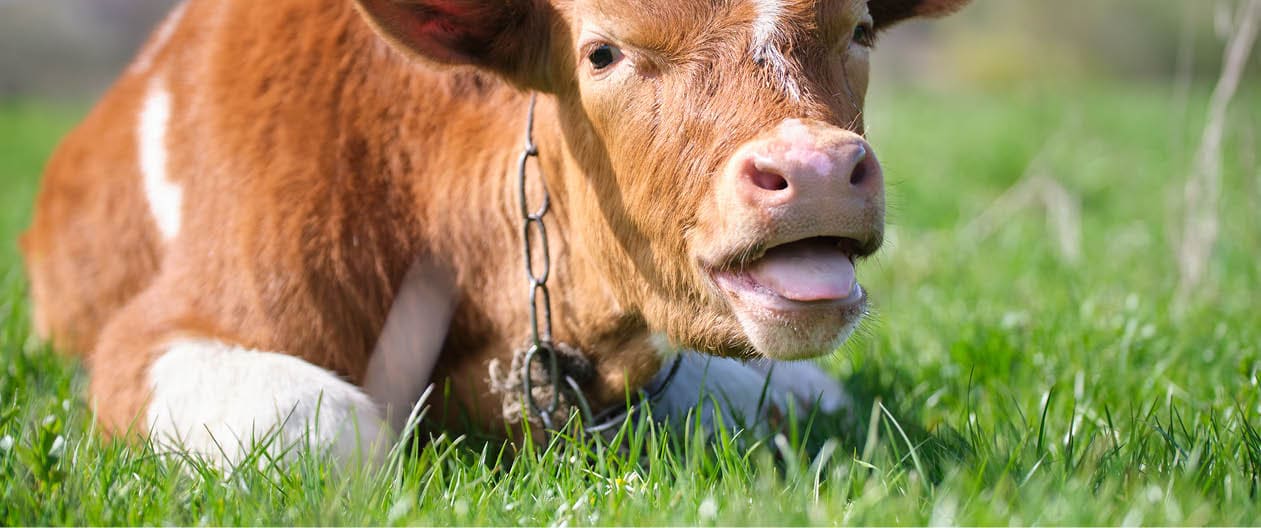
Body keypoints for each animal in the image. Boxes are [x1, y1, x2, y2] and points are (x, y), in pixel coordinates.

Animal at [21, 0, 970, 464]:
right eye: (601, 52)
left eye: (858, 29)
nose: (815, 170)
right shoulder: (156, 333)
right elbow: (330, 435)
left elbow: (777, 399)